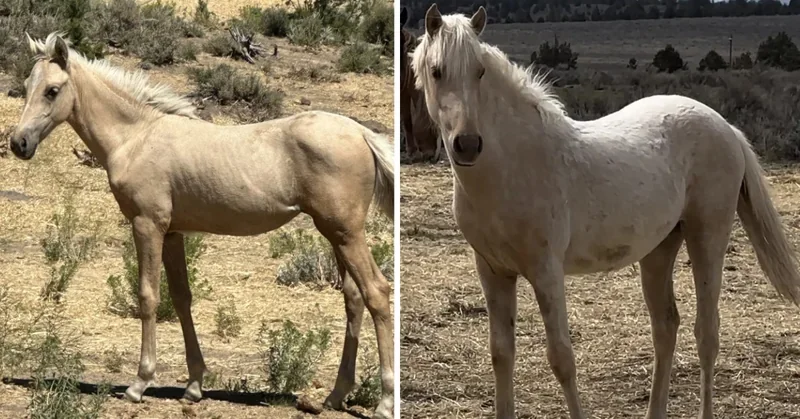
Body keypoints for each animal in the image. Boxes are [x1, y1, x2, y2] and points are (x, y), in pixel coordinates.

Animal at [10, 32, 395, 419]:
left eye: (53, 90)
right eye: (27, 86)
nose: (18, 143)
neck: (135, 138)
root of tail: (361, 133)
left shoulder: (147, 225)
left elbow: (148, 296)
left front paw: (139, 383)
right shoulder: (172, 234)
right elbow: (182, 298)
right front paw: (194, 385)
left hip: (345, 233)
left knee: (376, 292)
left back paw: (385, 401)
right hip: (336, 236)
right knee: (354, 297)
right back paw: (334, 396)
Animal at [412, 5, 800, 419]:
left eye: (480, 71)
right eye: (436, 71)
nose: (468, 145)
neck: (513, 164)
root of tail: (726, 126)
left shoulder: (546, 272)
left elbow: (562, 359)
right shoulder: (493, 271)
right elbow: (501, 355)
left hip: (708, 236)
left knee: (706, 333)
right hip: (660, 249)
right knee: (666, 327)